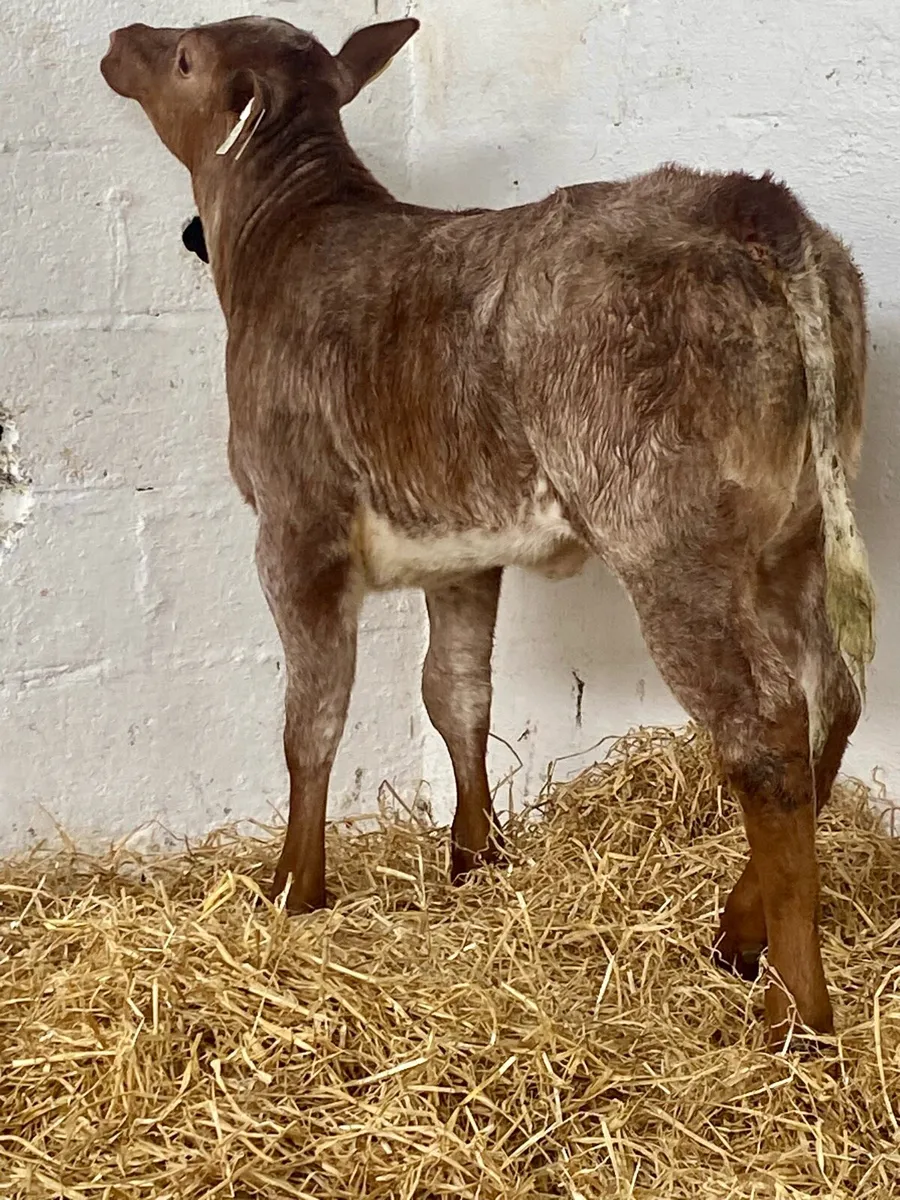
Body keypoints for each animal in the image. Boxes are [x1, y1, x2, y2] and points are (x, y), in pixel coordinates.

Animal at [100, 15, 875, 1045]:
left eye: (184, 55)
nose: (119, 36)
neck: (281, 238)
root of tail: (755, 206)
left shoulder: (295, 524)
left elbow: (313, 718)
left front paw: (293, 890)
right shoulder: (461, 544)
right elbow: (457, 694)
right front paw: (475, 860)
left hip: (668, 536)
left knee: (765, 729)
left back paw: (796, 1003)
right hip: (794, 530)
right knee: (833, 695)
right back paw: (736, 933)